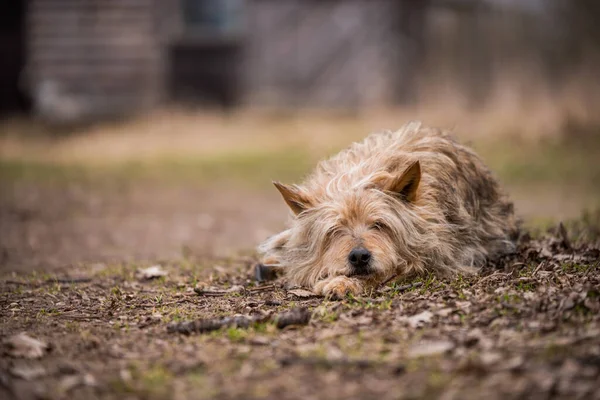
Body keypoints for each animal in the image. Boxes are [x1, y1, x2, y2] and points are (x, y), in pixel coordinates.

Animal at [260, 121, 516, 296]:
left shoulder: (437, 257)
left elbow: (391, 271)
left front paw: (341, 282)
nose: (359, 257)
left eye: (379, 224)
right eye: (334, 231)